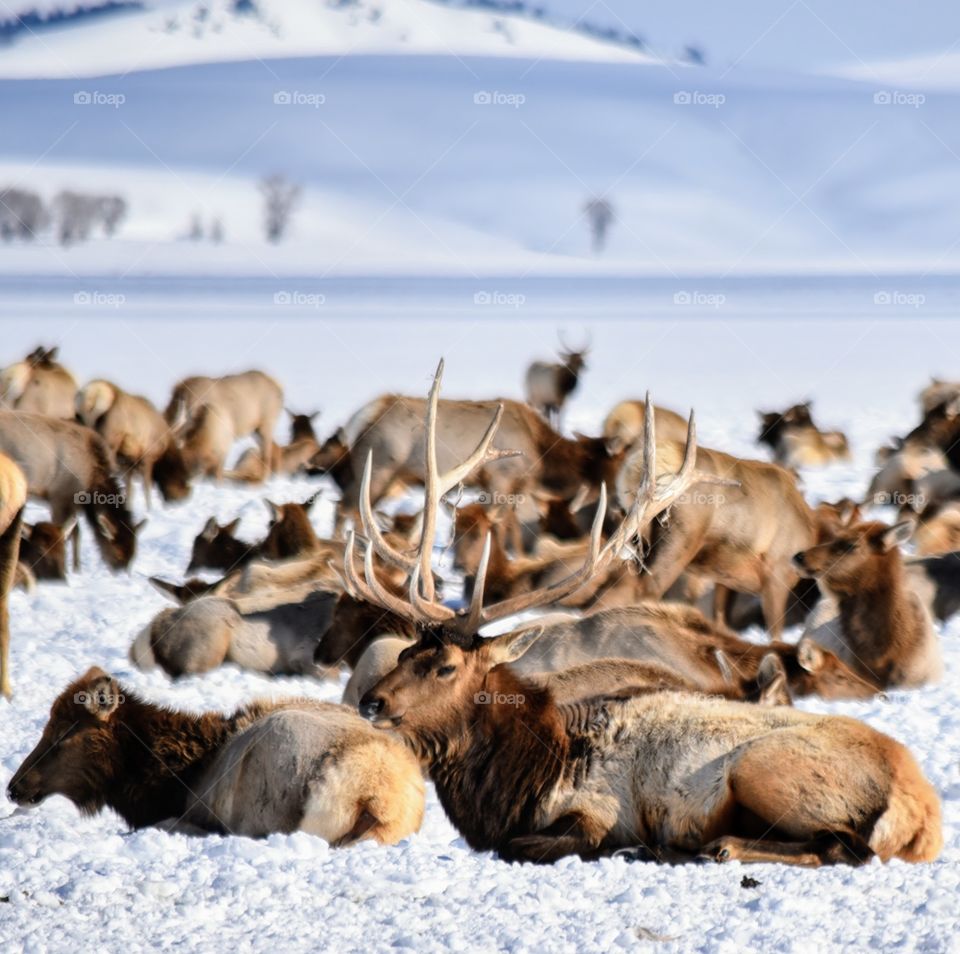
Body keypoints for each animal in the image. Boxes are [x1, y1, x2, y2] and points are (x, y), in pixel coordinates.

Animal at [0, 412, 142, 571]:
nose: (121, 571)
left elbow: (76, 532)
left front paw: (76, 566)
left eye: (133, 555)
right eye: (118, 553)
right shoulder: (59, 497)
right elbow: (65, 532)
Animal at [76, 379, 190, 508]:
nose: (181, 498)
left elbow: (130, 490)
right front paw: (149, 509)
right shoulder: (147, 456)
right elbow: (146, 487)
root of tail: (93, 394)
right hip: (110, 439)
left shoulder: (128, 461)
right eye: (182, 476)